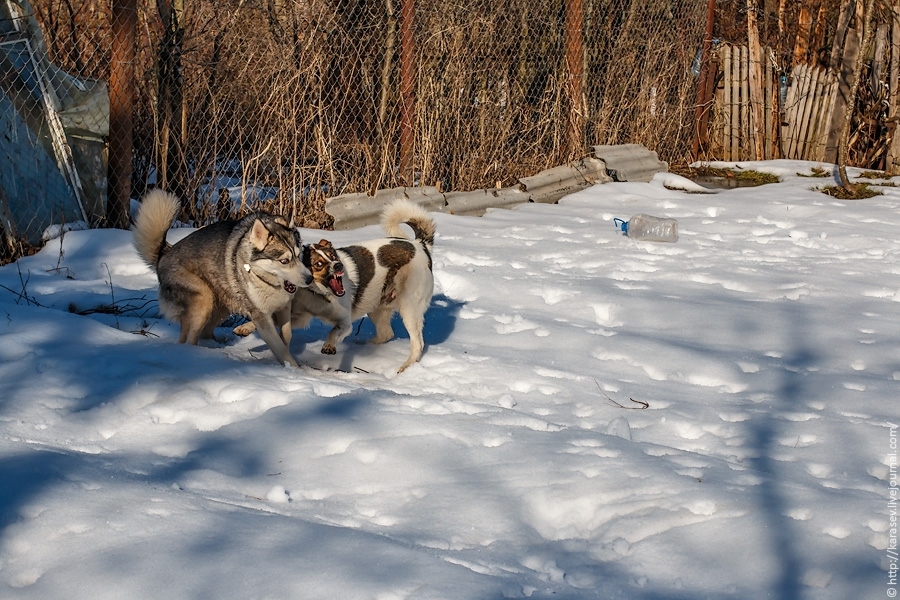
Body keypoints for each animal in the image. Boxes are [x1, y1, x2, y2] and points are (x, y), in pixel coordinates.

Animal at [132, 189, 312, 366]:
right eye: (284, 261)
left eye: (298, 255)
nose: (310, 279)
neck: (266, 281)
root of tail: (164, 254)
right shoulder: (260, 315)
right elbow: (279, 346)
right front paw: (294, 369)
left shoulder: (284, 307)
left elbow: (286, 336)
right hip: (204, 300)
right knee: (190, 339)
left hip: (220, 307)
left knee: (203, 333)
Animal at [236, 199, 436, 372]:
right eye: (318, 264)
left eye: (333, 256)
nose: (339, 266)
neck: (318, 294)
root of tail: (420, 245)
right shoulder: (300, 317)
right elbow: (270, 321)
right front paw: (245, 328)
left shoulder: (344, 322)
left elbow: (334, 332)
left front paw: (329, 346)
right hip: (377, 307)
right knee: (386, 334)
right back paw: (362, 346)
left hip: (409, 307)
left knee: (417, 343)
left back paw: (405, 367)